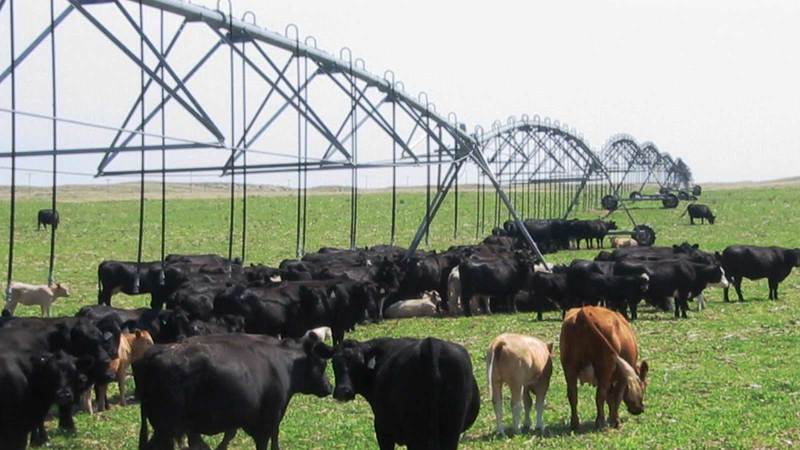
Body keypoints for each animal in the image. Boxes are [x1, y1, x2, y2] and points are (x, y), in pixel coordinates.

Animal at [320, 338, 482, 450]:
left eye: (358, 363)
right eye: (334, 362)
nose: (343, 391)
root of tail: (431, 344)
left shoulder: (382, 428)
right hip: (451, 428)